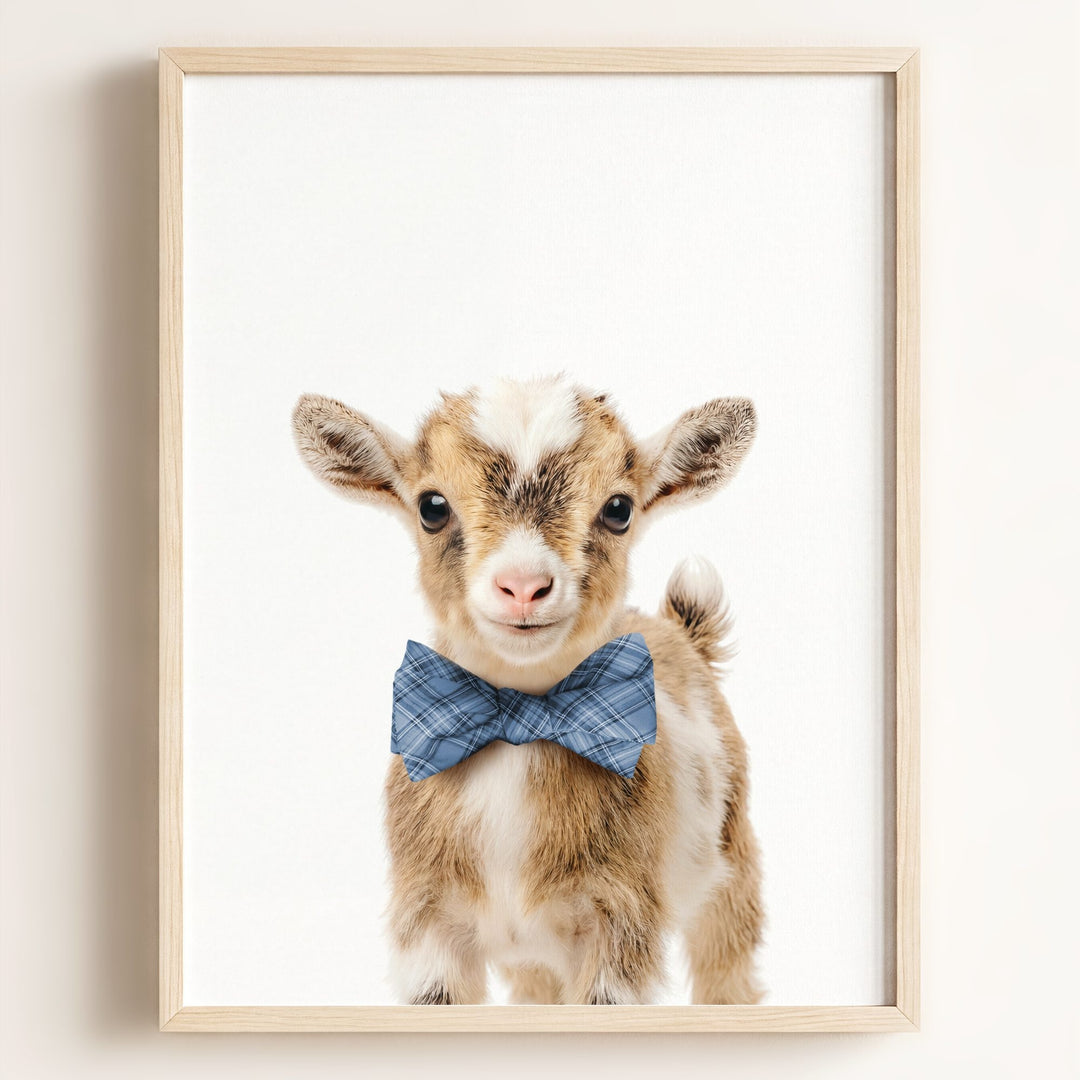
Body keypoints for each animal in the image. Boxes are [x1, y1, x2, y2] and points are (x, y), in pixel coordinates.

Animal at [292, 375, 763, 1005]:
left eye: (619, 509)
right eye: (432, 506)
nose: (522, 586)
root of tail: (682, 631)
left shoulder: (620, 919)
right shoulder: (427, 923)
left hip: (732, 864)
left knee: (728, 965)